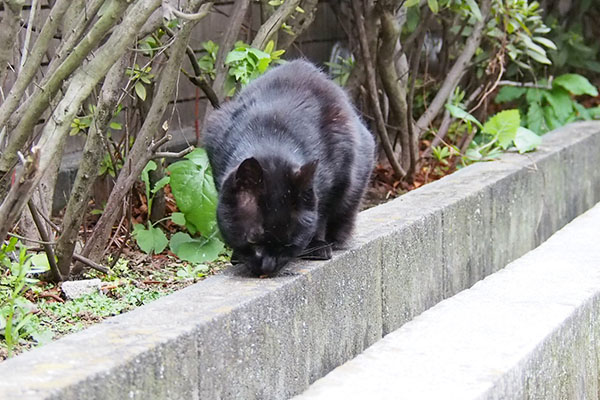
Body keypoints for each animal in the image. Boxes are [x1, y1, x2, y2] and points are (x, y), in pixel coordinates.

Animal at [206, 59, 376, 276]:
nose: (267, 266)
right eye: (252, 240)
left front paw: (317, 246)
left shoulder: (340, 175)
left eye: (287, 244)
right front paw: (237, 256)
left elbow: (321, 214)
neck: (270, 136)